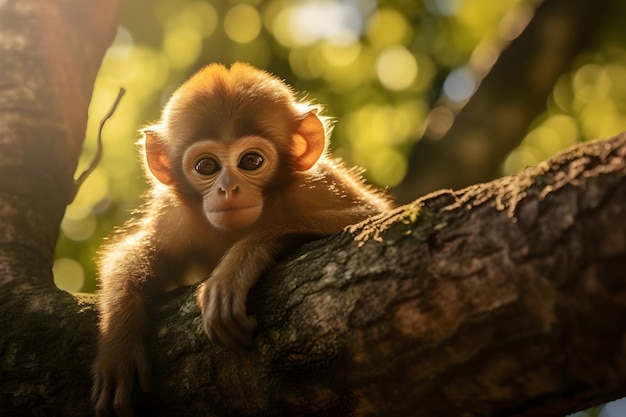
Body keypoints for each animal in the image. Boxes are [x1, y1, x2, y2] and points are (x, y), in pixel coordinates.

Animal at [90, 62, 392, 416]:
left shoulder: (315, 185)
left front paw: (234, 268)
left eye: (251, 161)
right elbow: (136, 251)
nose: (228, 188)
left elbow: (371, 216)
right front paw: (117, 341)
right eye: (206, 166)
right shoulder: (175, 214)